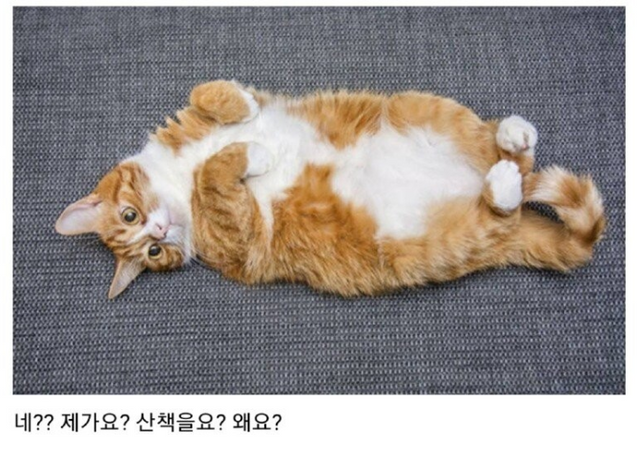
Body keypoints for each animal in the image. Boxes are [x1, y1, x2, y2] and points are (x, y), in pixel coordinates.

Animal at [55, 80, 606, 299]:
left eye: (130, 216)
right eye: (153, 252)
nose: (160, 229)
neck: (178, 175)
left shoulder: (190, 117)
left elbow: (208, 95)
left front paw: (242, 110)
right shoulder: (240, 241)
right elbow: (215, 173)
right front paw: (250, 154)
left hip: (419, 107)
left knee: (503, 149)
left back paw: (512, 134)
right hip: (437, 244)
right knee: (504, 205)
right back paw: (504, 184)